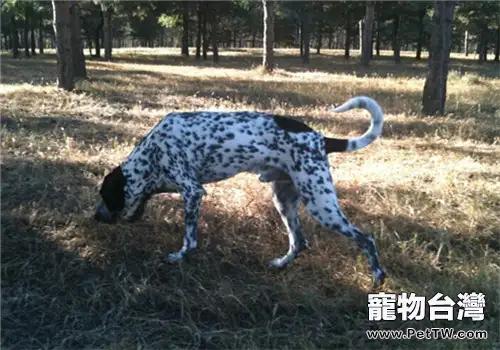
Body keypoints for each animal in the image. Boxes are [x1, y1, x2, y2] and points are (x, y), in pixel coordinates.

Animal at [95, 95, 388, 288]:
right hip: (284, 200)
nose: (95, 217)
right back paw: (280, 264)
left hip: (320, 203)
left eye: (105, 196)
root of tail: (320, 139)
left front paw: (179, 257)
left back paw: (377, 276)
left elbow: (189, 240)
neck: (152, 153)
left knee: (367, 239)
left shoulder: (192, 192)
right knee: (299, 242)